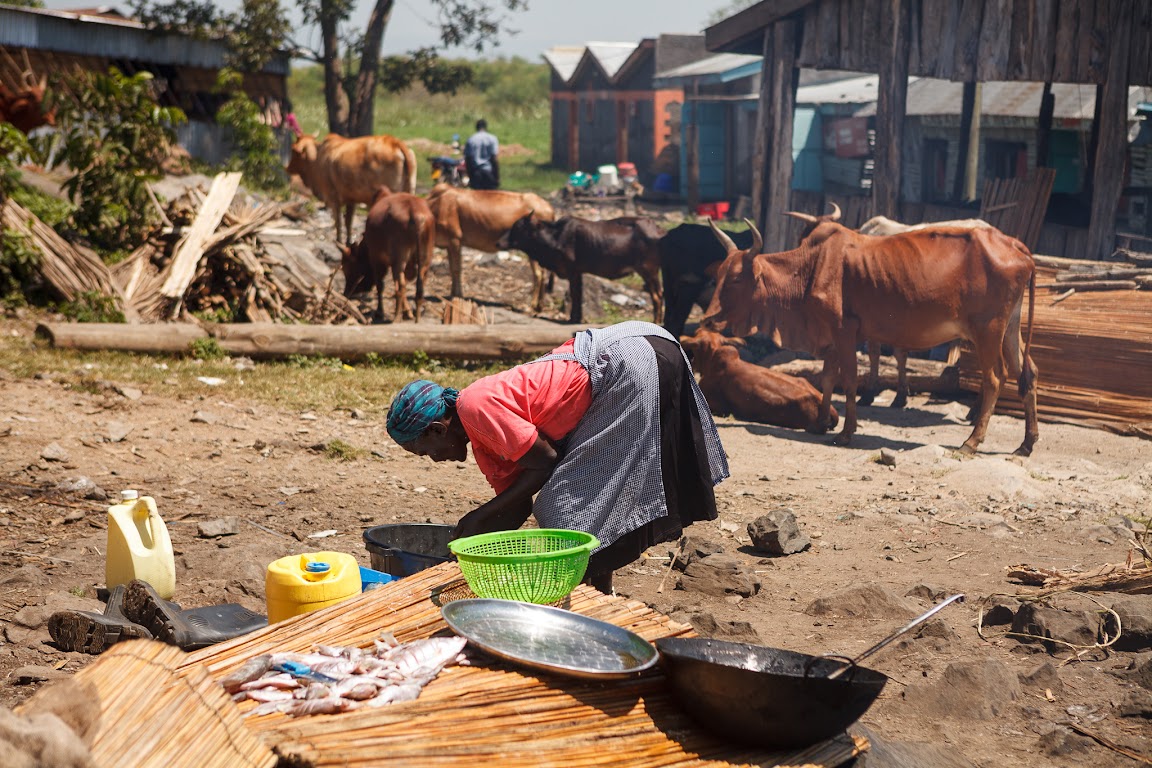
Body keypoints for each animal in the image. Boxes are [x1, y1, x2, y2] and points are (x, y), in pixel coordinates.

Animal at [288, 133, 419, 245]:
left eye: (293, 150)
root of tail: (394, 142)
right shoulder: (351, 199)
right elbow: (348, 222)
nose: (287, 168)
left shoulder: (333, 196)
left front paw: (338, 240)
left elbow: (338, 221)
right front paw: (348, 241)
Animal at [340, 186, 435, 324]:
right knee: (419, 286)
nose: (347, 293)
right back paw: (416, 318)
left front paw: (380, 312)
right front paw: (407, 312)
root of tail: (415, 213)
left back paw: (396, 318)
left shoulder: (376, 258)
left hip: (399, 260)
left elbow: (380, 285)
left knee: (401, 287)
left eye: (349, 269)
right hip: (424, 259)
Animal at [430, 184, 559, 308]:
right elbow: (452, 269)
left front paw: (456, 296)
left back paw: (531, 305)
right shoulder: (449, 244)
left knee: (538, 274)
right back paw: (540, 305)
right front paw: (453, 294)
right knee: (543, 274)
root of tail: (551, 209)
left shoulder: (455, 240)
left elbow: (456, 270)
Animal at [700, 218, 1046, 453]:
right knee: (1028, 373)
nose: (708, 317)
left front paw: (845, 432)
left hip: (988, 330)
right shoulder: (830, 337)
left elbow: (850, 381)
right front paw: (820, 424)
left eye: (735, 279)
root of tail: (1015, 246)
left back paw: (972, 441)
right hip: (1010, 330)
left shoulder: (845, 333)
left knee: (995, 379)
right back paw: (1027, 443)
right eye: (718, 276)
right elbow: (827, 379)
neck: (811, 267)